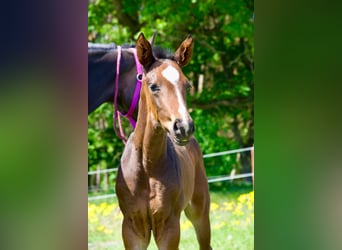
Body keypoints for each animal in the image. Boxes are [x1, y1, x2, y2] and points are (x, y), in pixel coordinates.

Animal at [115, 33, 211, 250]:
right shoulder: (132, 229)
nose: (184, 127)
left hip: (200, 211)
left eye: (187, 86)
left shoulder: (169, 226)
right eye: (153, 86)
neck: (146, 166)